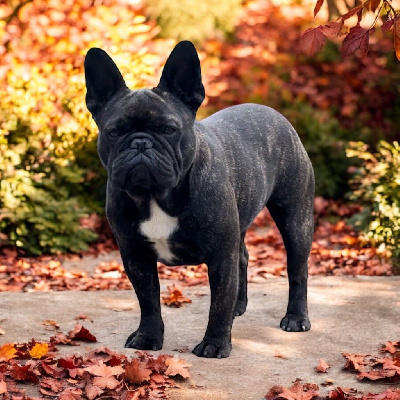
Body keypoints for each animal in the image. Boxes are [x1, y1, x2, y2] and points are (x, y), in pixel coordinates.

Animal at [84, 41, 316, 360]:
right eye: (114, 131)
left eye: (169, 129)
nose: (140, 143)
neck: (155, 196)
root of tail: (275, 114)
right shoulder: (136, 256)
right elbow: (148, 301)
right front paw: (147, 336)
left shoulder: (220, 256)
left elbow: (217, 304)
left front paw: (215, 344)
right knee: (243, 257)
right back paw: (238, 306)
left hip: (295, 218)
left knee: (297, 269)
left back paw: (295, 318)